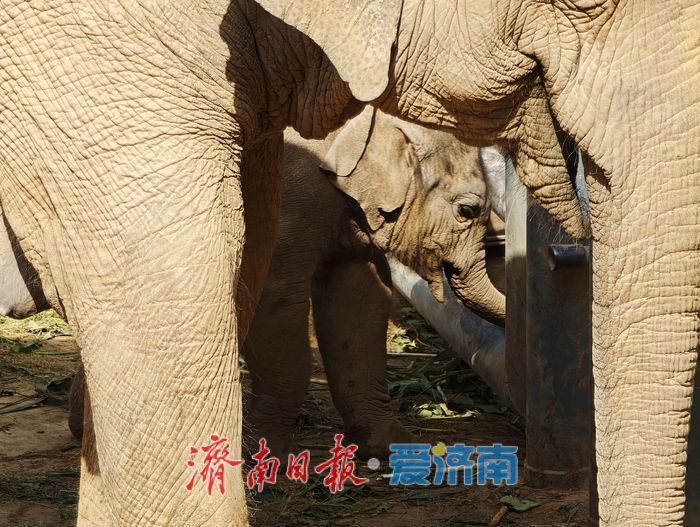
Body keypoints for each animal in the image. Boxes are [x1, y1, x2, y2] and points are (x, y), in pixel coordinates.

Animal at [0, 1, 697, 526]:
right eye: (469, 209)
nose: (562, 251)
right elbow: (262, 305)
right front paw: (267, 460)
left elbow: (355, 304)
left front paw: (393, 455)